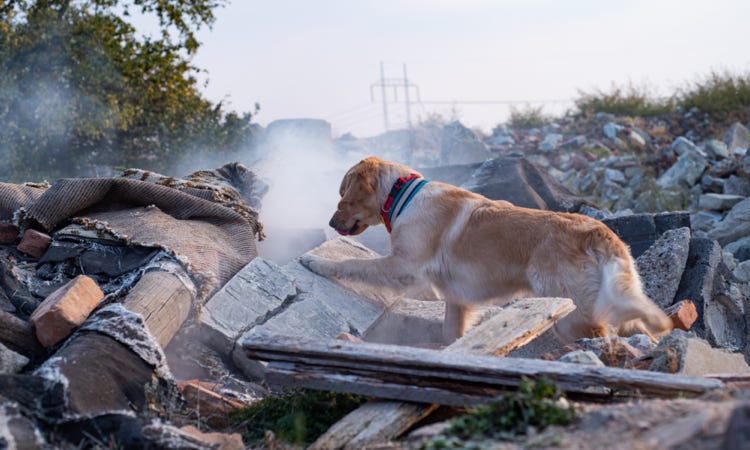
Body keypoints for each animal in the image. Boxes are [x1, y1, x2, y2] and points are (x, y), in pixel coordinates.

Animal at [302, 156, 676, 342]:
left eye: (343, 195)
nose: (331, 222)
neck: (402, 195)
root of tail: (599, 231)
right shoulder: (456, 297)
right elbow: (451, 333)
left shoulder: (403, 266)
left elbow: (352, 263)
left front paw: (314, 260)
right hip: (615, 298)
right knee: (640, 332)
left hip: (570, 307)